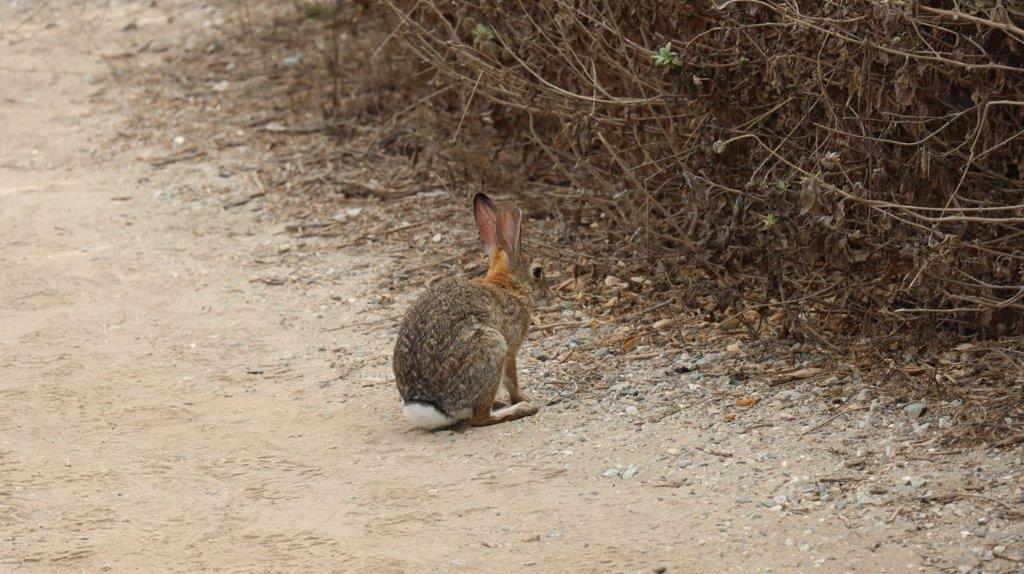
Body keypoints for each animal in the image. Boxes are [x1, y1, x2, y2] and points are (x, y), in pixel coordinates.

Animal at [393, 192, 552, 429]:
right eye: (538, 271)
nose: (547, 293)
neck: (508, 284)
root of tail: (434, 408)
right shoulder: (510, 349)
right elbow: (511, 379)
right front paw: (523, 398)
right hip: (492, 346)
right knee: (481, 418)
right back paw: (518, 409)